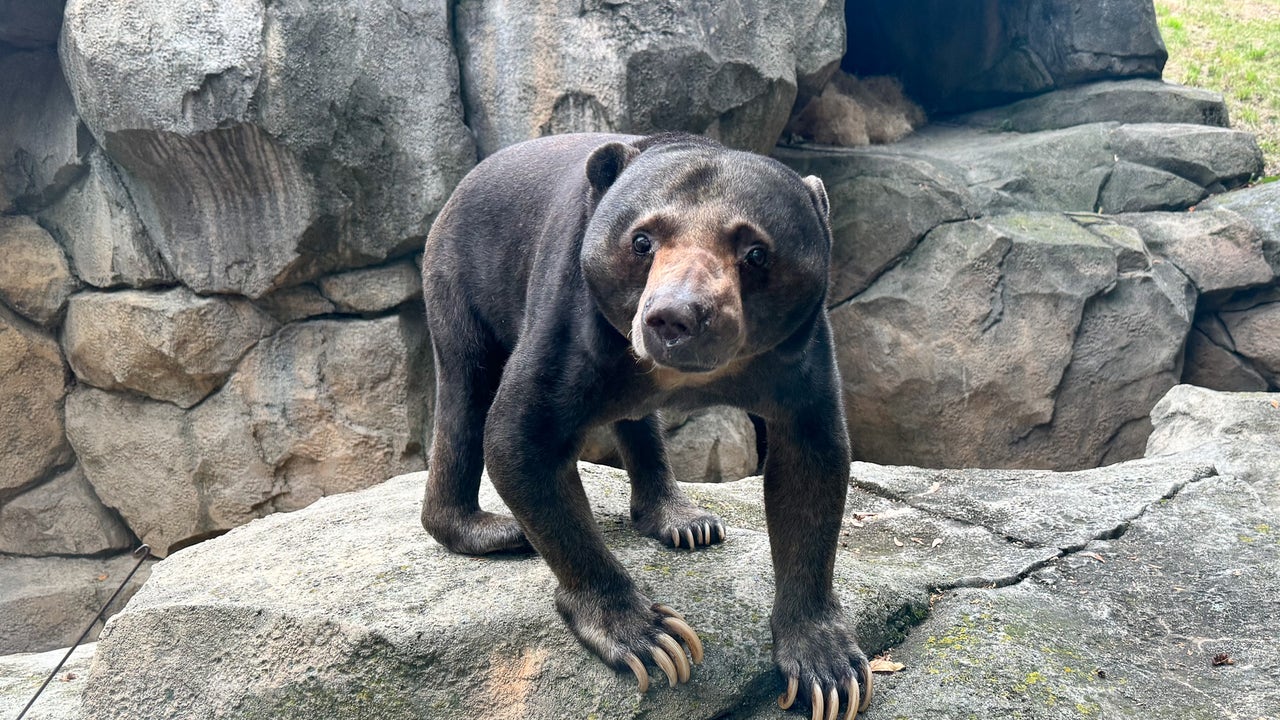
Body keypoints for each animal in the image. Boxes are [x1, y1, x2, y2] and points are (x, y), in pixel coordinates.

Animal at [420, 132, 871, 718]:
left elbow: (810, 463)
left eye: (755, 252)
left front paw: (828, 669)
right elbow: (520, 438)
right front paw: (651, 638)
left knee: (637, 422)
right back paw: (493, 529)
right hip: (462, 279)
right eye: (642, 241)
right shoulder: (574, 320)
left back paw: (685, 521)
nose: (676, 318)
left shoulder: (800, 350)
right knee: (466, 391)